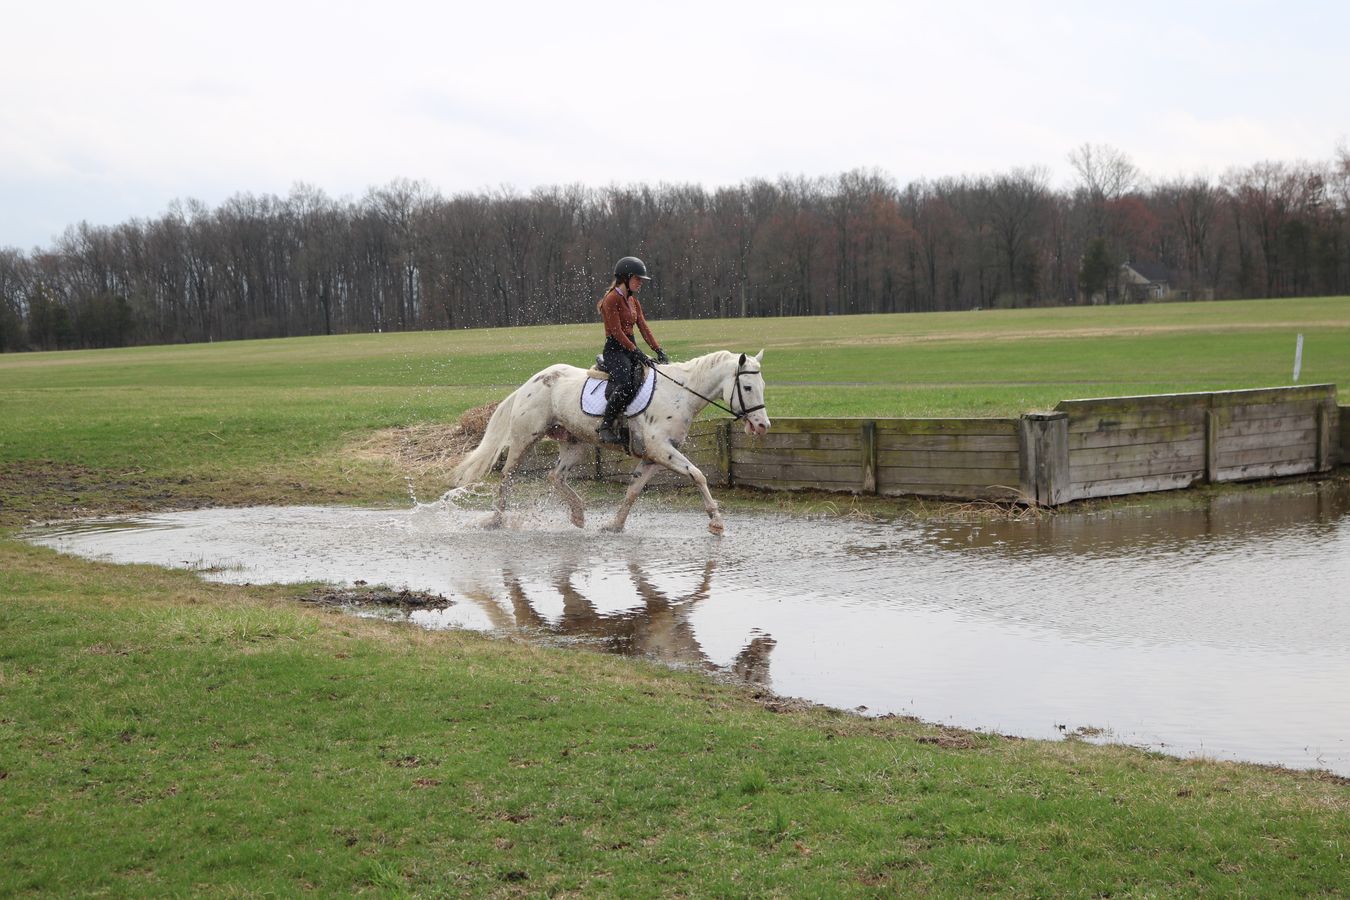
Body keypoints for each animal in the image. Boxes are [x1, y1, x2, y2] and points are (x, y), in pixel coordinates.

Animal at [450, 350, 770, 534]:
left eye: (762, 385)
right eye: (748, 387)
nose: (763, 425)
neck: (680, 394)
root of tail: (531, 381)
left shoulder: (654, 457)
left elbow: (633, 490)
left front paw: (615, 525)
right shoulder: (662, 450)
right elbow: (698, 475)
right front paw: (716, 521)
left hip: (575, 443)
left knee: (555, 476)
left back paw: (578, 514)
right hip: (524, 438)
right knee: (507, 475)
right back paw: (495, 520)